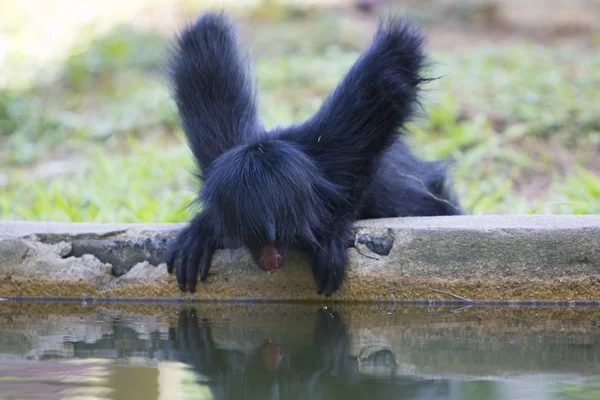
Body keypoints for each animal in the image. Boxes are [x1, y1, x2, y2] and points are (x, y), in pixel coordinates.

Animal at [165, 10, 460, 296]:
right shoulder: (217, 151)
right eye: (252, 236)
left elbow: (396, 59)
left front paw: (332, 232)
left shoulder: (335, 150)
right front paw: (203, 228)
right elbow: (203, 37)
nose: (269, 258)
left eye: (279, 234)